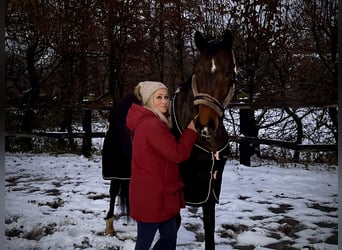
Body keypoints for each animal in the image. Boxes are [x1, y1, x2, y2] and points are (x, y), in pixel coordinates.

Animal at [101, 30, 235, 249]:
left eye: (228, 73)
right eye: (197, 70)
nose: (204, 125)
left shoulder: (210, 191)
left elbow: (209, 228)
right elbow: (173, 227)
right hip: (116, 166)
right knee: (113, 191)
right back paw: (109, 227)